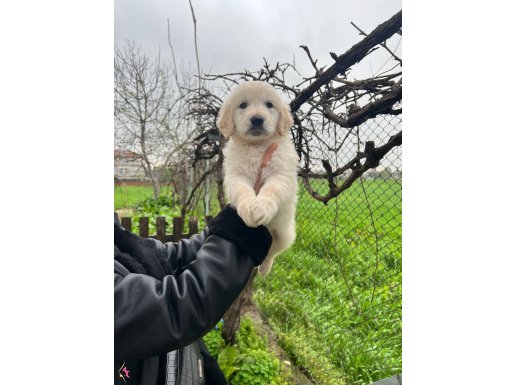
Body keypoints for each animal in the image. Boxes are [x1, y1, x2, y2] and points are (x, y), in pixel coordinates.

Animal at [217, 81, 298, 274]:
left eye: (269, 104)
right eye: (242, 105)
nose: (257, 119)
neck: (257, 145)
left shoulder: (280, 172)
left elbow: (271, 189)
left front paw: (261, 208)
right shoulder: (236, 174)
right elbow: (242, 191)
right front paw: (248, 209)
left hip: (284, 233)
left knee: (272, 252)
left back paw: (264, 269)